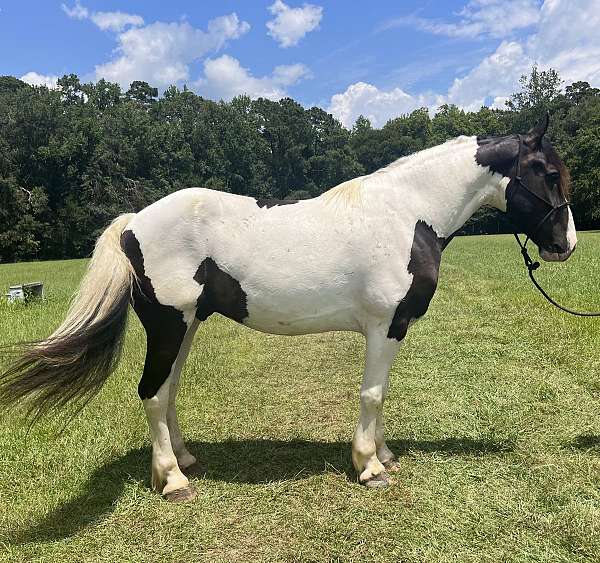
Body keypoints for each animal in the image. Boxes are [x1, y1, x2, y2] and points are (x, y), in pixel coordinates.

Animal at [2, 112, 580, 500]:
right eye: (549, 173)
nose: (566, 244)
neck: (406, 214)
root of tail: (133, 223)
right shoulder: (384, 325)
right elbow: (372, 394)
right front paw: (370, 466)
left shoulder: (392, 330)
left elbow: (381, 396)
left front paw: (384, 455)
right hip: (168, 326)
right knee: (151, 394)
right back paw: (173, 481)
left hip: (186, 327)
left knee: (167, 393)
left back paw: (183, 460)